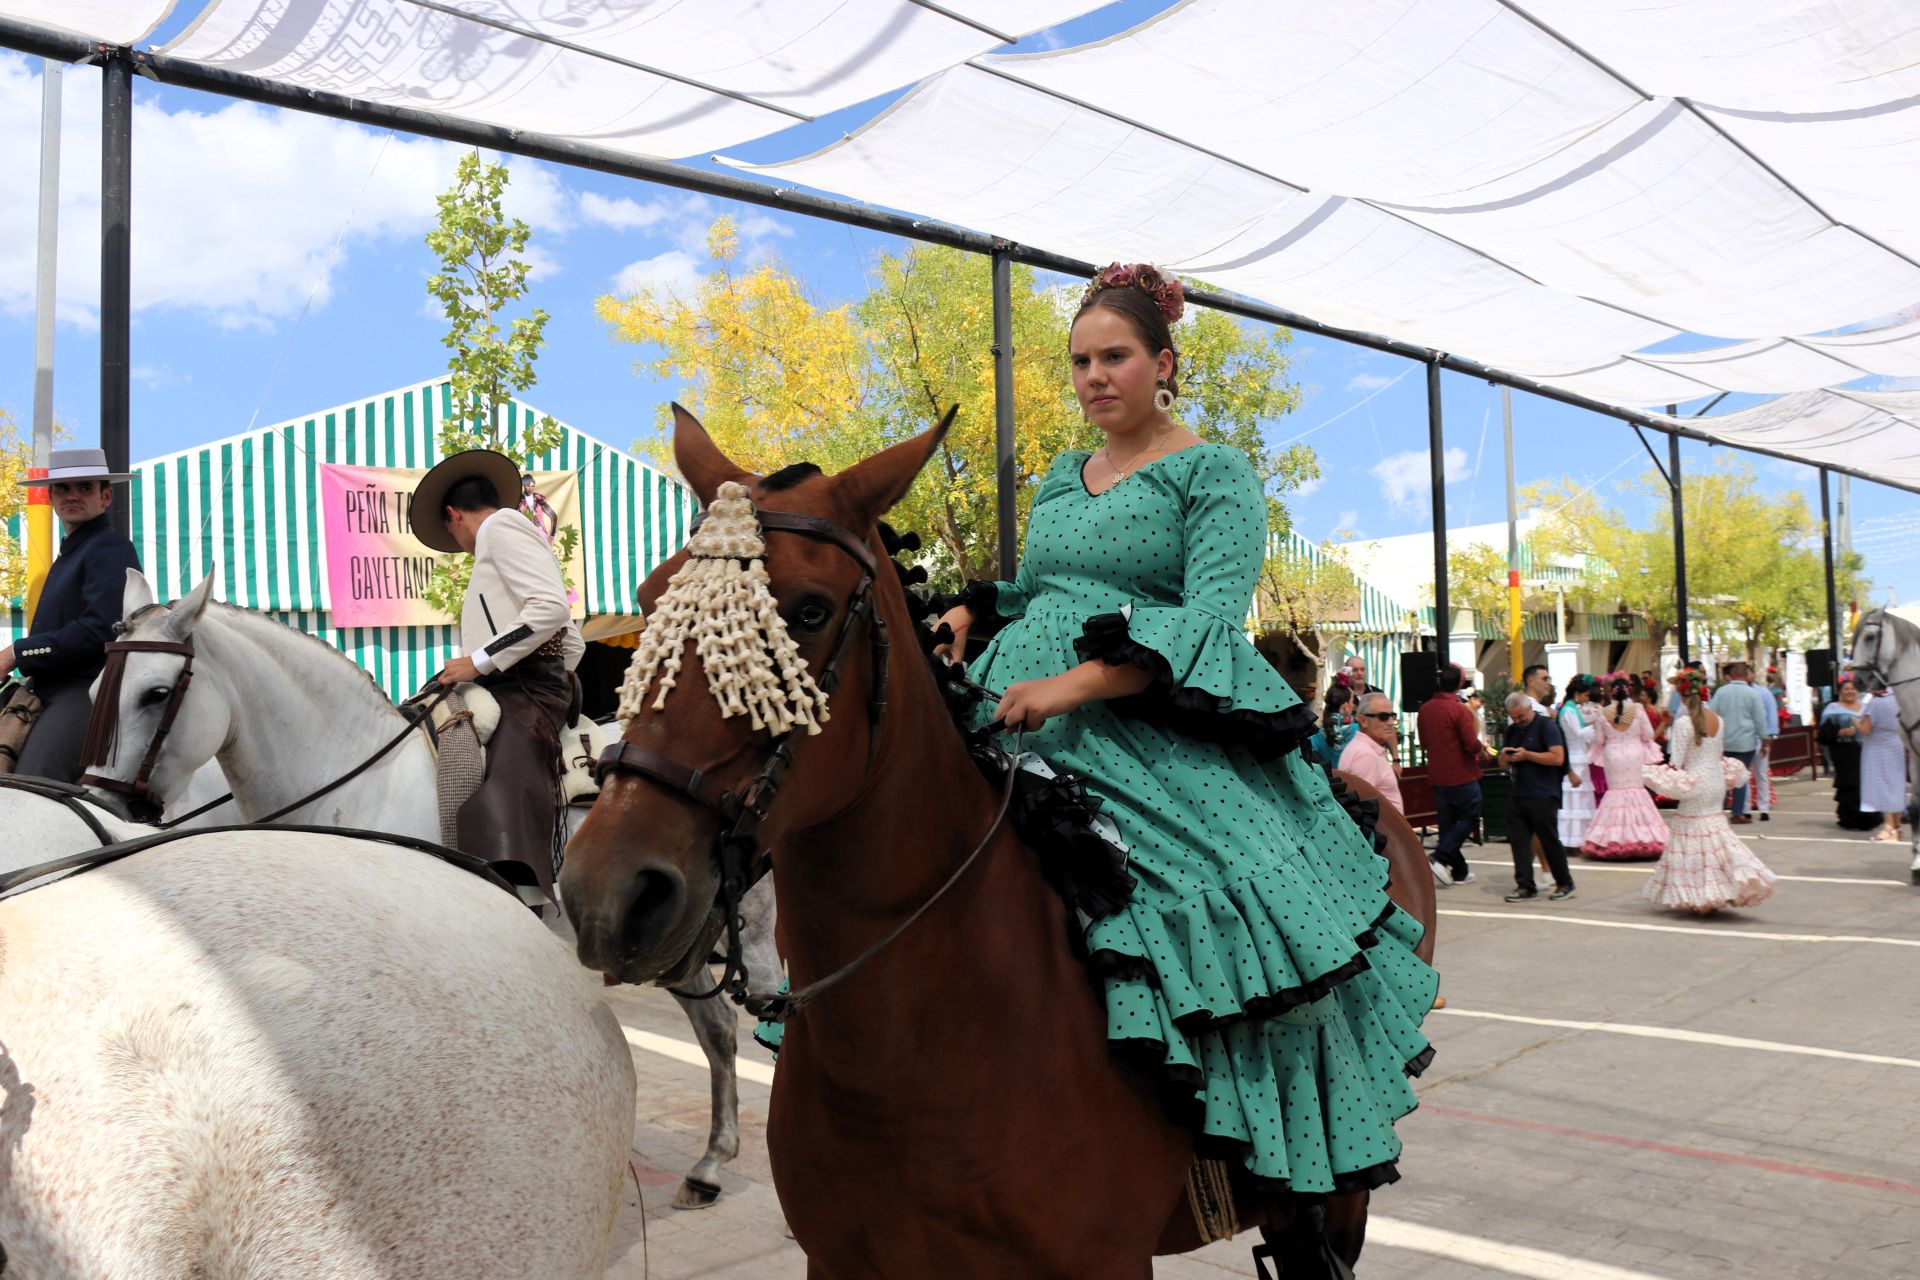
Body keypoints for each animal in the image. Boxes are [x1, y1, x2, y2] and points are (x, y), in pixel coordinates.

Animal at [88, 575, 779, 1205]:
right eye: (96, 691)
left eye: (155, 693)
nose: (101, 801)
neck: (357, 783)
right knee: (717, 1027)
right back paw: (708, 1166)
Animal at [560, 416, 1436, 1274]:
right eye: (649, 597)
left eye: (809, 612)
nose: (610, 892)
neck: (905, 1045)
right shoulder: (844, 1261)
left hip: (1345, 1196)